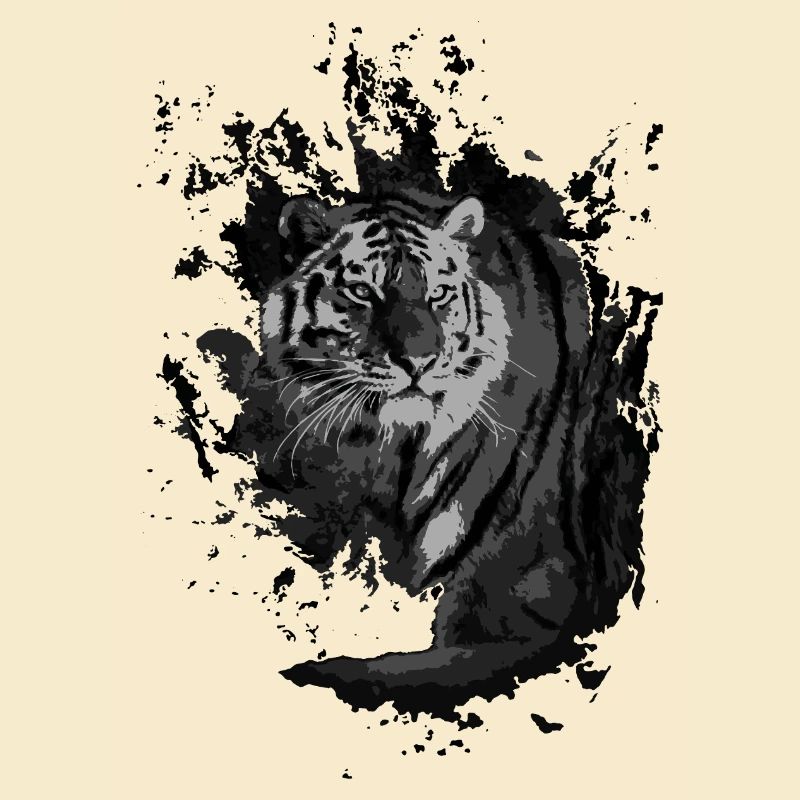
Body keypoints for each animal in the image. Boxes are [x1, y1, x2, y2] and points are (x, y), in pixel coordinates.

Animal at [224, 189, 654, 714]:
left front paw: (318, 675)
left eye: (439, 294)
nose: (419, 361)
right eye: (362, 292)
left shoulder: (535, 605)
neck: (394, 454)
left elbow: (398, 672)